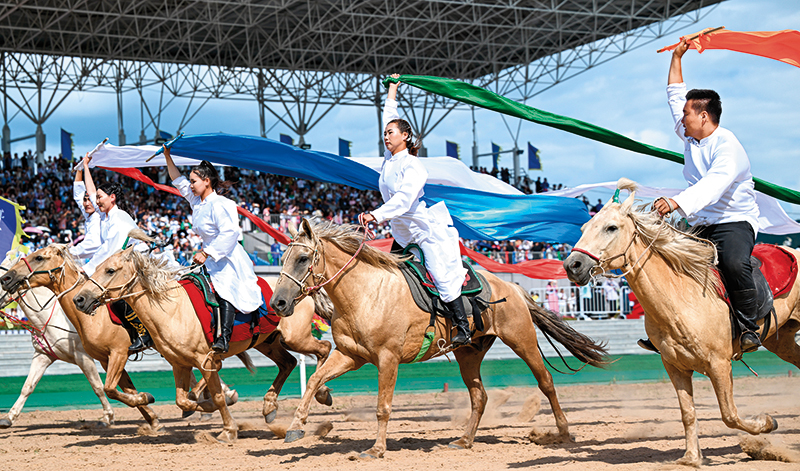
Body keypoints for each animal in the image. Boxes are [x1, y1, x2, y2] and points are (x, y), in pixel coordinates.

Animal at [0, 254, 114, 432]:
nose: (5, 281)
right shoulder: (42, 356)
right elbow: (27, 386)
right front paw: (9, 417)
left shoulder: (83, 357)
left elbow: (98, 386)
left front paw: (107, 416)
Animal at [73, 243, 336, 442]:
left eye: (110, 270)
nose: (80, 299)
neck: (172, 310)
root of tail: (302, 289)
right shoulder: (179, 364)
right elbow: (183, 400)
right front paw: (156, 399)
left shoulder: (205, 361)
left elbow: (214, 396)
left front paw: (228, 429)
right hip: (267, 342)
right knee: (288, 363)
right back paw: (270, 407)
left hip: (295, 338)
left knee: (324, 349)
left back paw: (321, 392)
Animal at [268, 219, 608, 460]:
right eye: (282, 258)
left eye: (302, 258)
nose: (278, 303)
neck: (367, 292)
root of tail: (511, 287)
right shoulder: (350, 355)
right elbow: (314, 381)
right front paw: (296, 426)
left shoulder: (388, 359)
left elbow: (382, 406)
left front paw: (376, 449)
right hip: (469, 354)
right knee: (479, 397)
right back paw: (464, 441)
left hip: (522, 341)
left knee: (546, 381)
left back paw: (563, 432)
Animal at [564, 178, 800, 468]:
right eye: (584, 228)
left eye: (611, 227)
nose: (573, 265)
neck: (680, 298)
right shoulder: (675, 366)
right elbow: (688, 413)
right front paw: (691, 458)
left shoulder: (719, 364)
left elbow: (729, 414)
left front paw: (766, 423)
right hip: (783, 342)